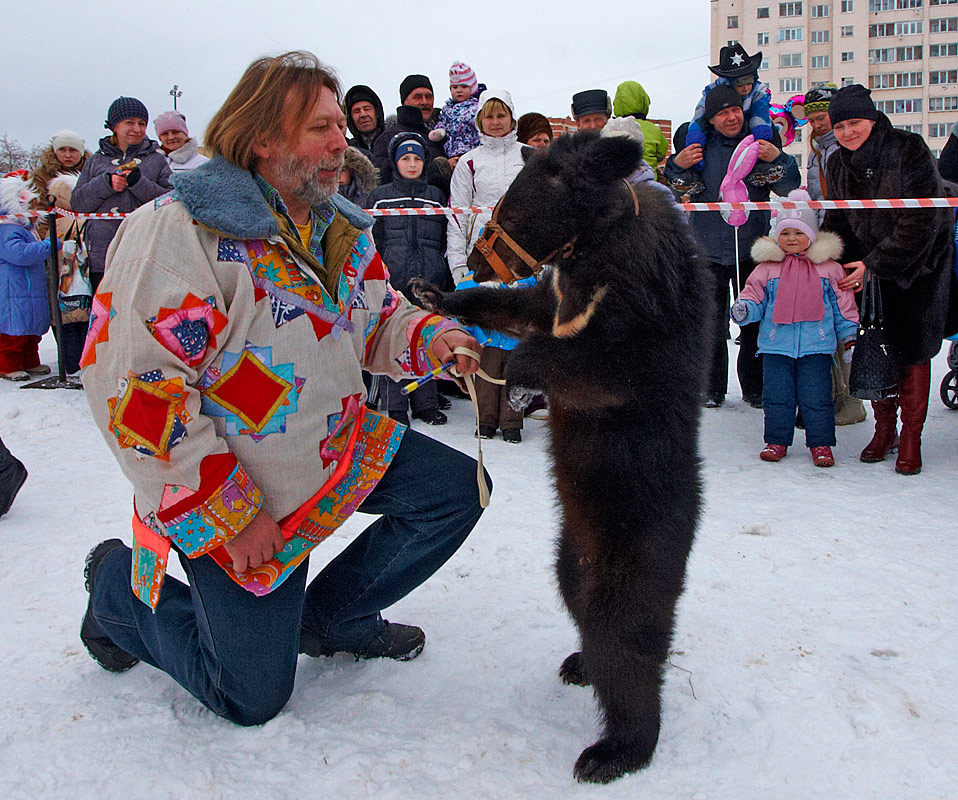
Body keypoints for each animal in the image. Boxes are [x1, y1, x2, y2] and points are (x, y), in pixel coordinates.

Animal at [412, 130, 712, 780]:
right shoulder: (555, 292)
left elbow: (604, 361)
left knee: (626, 643)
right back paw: (579, 663)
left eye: (509, 207)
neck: (594, 251)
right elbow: (523, 305)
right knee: (581, 606)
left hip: (635, 546)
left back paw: (613, 750)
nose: (475, 260)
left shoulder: (647, 307)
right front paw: (436, 293)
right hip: (570, 555)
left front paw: (523, 371)